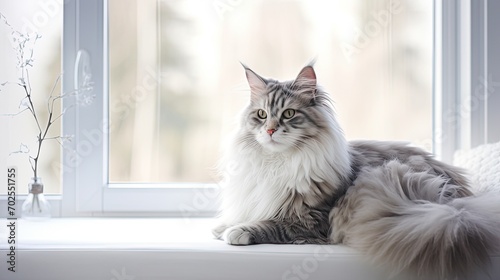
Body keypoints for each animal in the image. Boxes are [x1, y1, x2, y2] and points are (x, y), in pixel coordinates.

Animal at [213, 63, 500, 278]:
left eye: (289, 113)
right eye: (261, 115)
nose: (271, 130)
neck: (278, 162)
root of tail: (456, 205)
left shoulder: (311, 219)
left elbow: (272, 223)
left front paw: (237, 231)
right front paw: (223, 225)